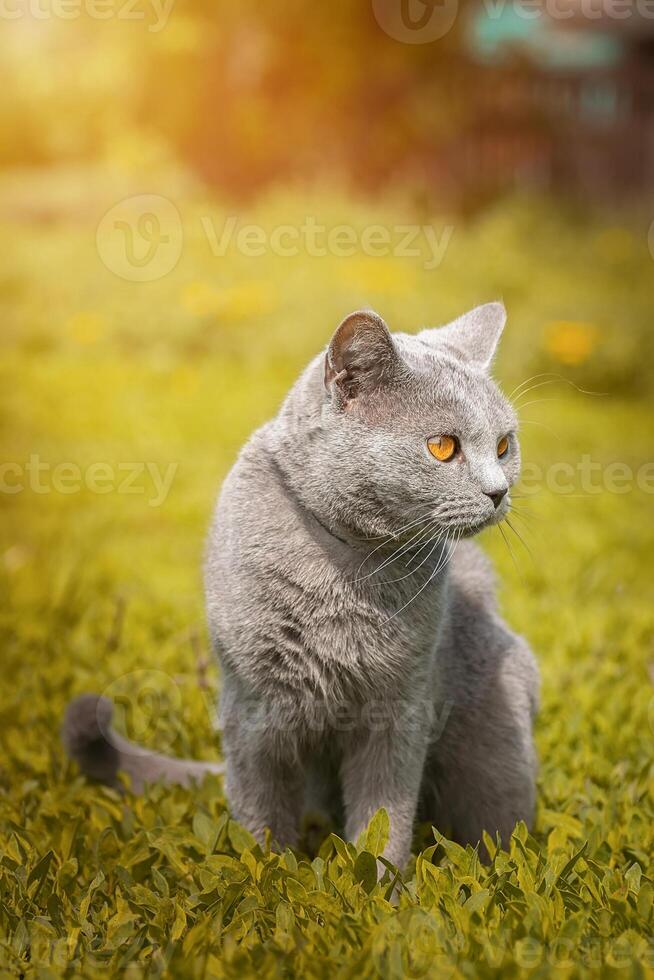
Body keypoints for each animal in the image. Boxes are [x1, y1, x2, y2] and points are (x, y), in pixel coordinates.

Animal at [64, 302, 540, 868]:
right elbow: (260, 812)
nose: (499, 491)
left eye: (504, 446)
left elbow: (385, 815)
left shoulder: (399, 708)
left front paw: (381, 885)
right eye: (443, 447)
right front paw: (266, 873)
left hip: (496, 738)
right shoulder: (254, 706)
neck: (353, 574)